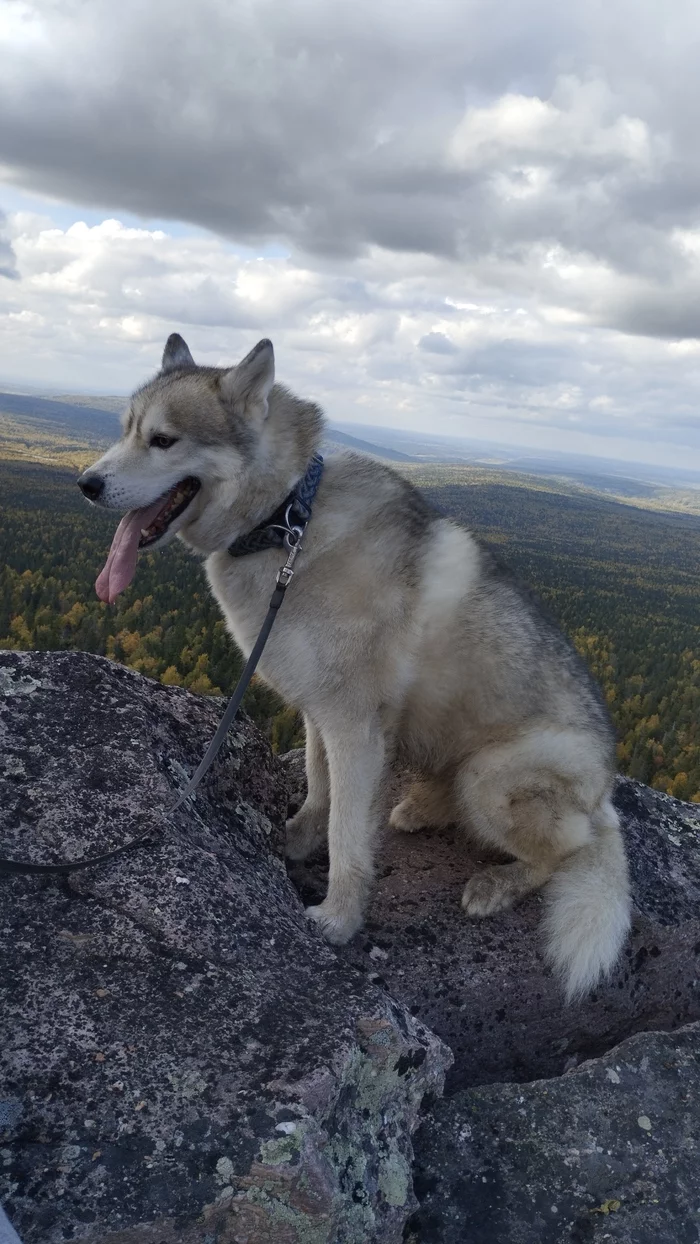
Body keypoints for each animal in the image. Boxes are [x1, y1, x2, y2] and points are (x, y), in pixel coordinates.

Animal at [79, 333, 631, 1000]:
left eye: (163, 440)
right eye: (125, 431)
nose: (85, 484)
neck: (287, 521)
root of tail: (604, 795)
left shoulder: (354, 725)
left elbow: (347, 833)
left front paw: (339, 918)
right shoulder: (321, 712)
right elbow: (320, 791)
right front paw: (295, 841)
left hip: (494, 778)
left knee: (561, 853)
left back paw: (496, 884)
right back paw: (421, 808)